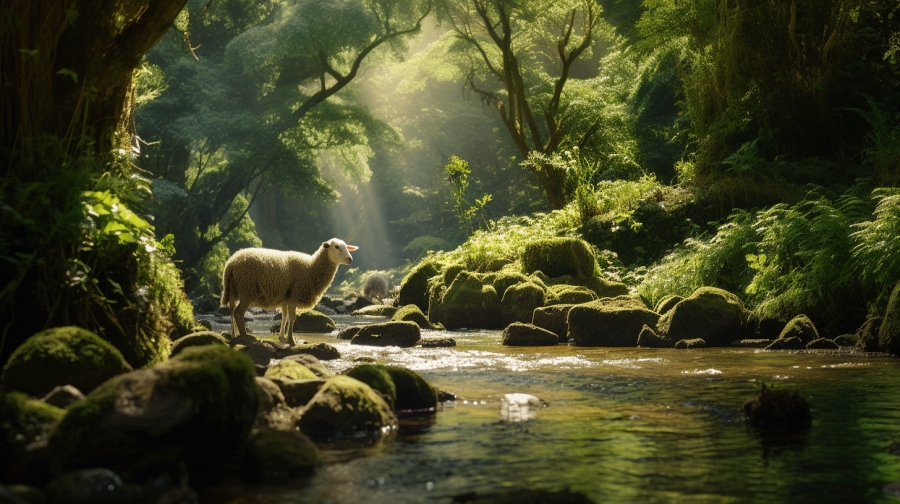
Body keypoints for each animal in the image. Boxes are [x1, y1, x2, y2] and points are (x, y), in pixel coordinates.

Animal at [221, 239, 358, 342]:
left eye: (346, 247)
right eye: (336, 247)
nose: (350, 259)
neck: (311, 267)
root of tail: (231, 263)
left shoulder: (286, 297)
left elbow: (284, 317)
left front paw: (282, 337)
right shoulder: (294, 295)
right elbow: (292, 318)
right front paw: (291, 340)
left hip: (233, 290)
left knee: (232, 311)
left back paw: (234, 335)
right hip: (247, 290)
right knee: (238, 313)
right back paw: (244, 335)